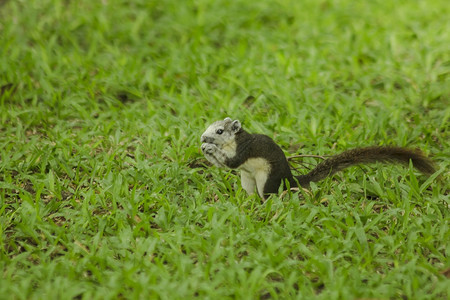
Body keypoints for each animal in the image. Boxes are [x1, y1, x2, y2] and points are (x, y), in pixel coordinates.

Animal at [200, 117, 436, 199]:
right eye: (209, 125)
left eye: (219, 131)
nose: (203, 136)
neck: (233, 141)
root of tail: (290, 179)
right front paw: (204, 148)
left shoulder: (244, 150)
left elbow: (231, 163)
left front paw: (209, 148)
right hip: (247, 180)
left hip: (267, 180)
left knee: (269, 195)